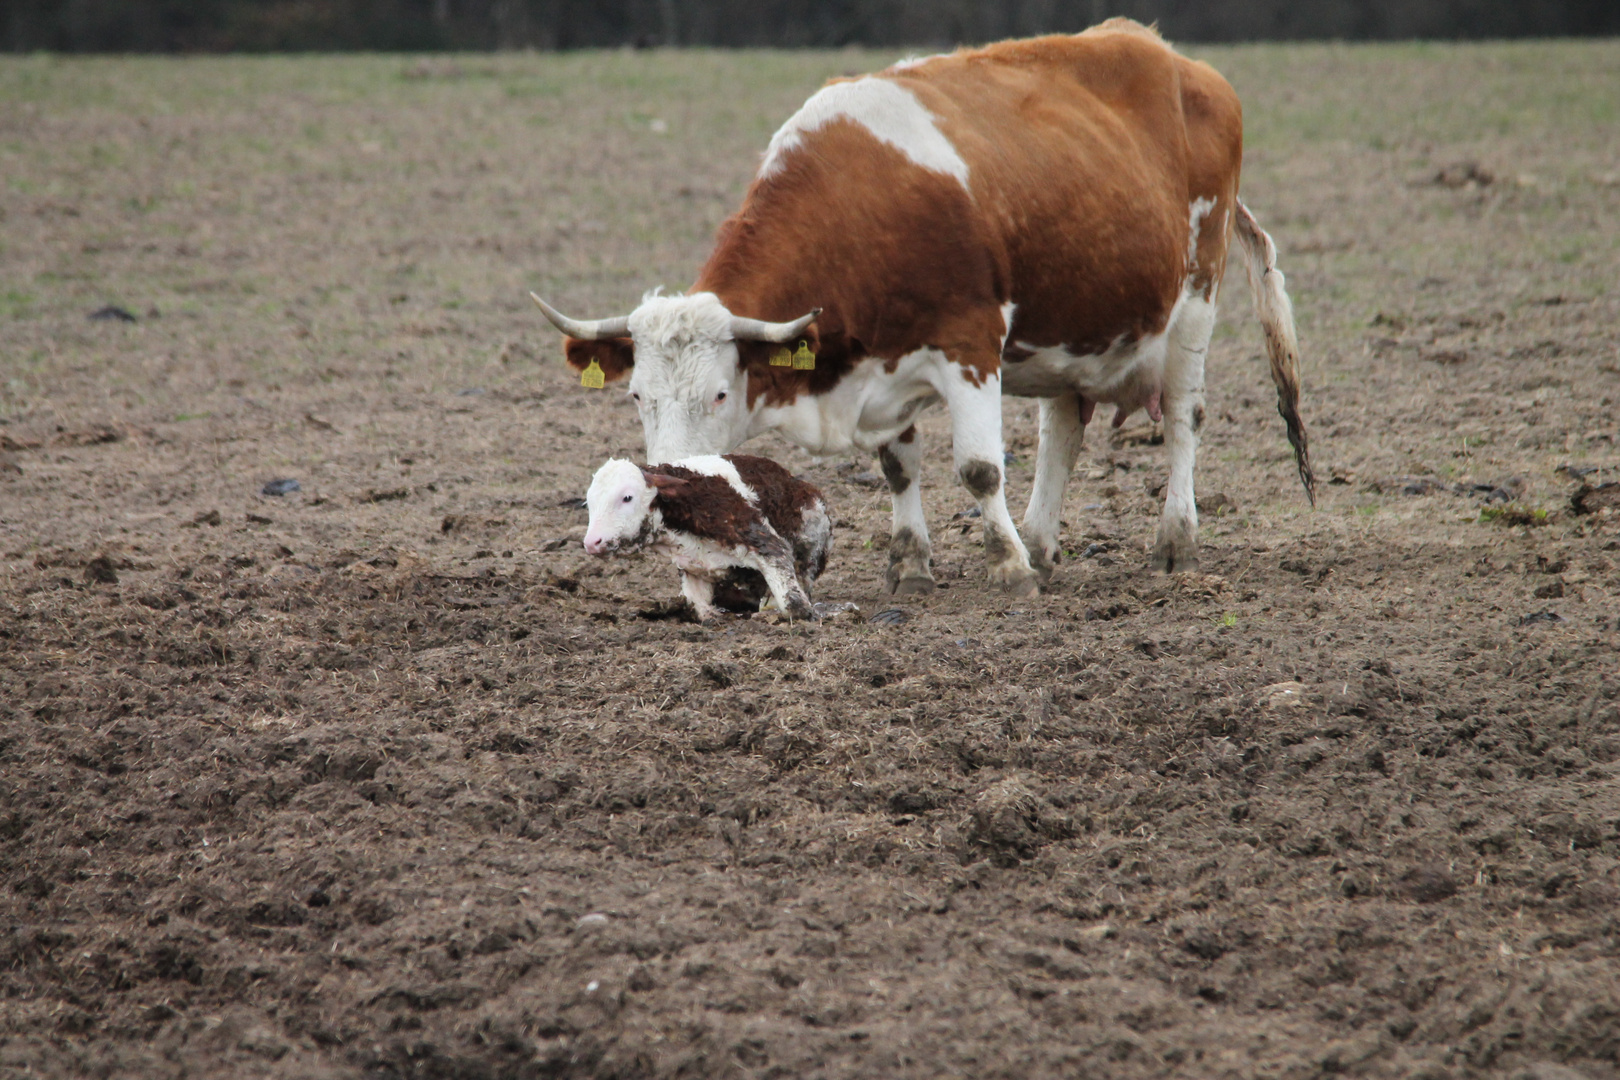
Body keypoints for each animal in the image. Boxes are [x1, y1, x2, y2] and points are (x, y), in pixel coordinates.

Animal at [531, 21, 1315, 599]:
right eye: (637, 394)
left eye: (721, 392)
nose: (667, 485)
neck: (863, 208)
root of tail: (1173, 58)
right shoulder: (886, 365)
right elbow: (899, 467)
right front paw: (912, 564)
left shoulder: (971, 345)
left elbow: (979, 468)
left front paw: (1006, 568)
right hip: (1073, 329)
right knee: (1063, 429)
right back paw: (1042, 542)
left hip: (1196, 297)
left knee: (1183, 417)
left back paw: (1172, 542)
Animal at [586, 456, 835, 625]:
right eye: (589, 502)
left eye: (627, 497)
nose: (591, 542)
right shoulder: (691, 567)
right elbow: (701, 611)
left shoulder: (762, 541)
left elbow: (794, 604)